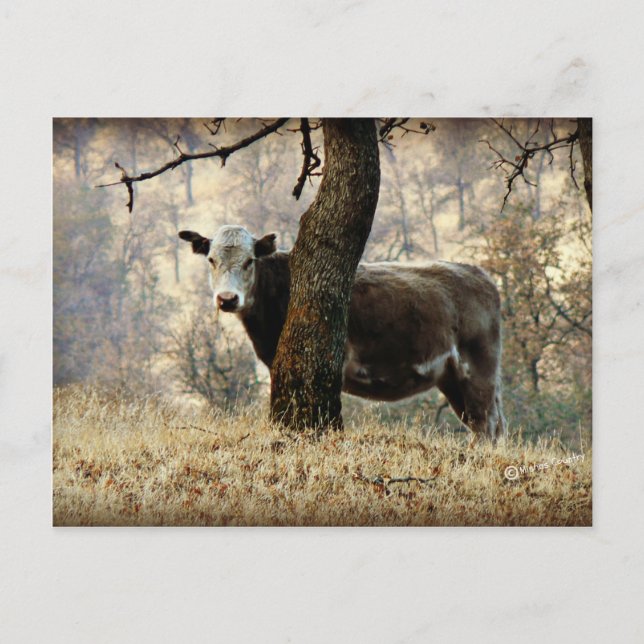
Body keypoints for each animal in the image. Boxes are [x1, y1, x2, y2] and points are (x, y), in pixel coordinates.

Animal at [179, 225, 506, 441]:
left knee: (486, 422)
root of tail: (480, 275)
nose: (227, 298)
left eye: (249, 261)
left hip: (477, 367)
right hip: (452, 378)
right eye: (211, 260)